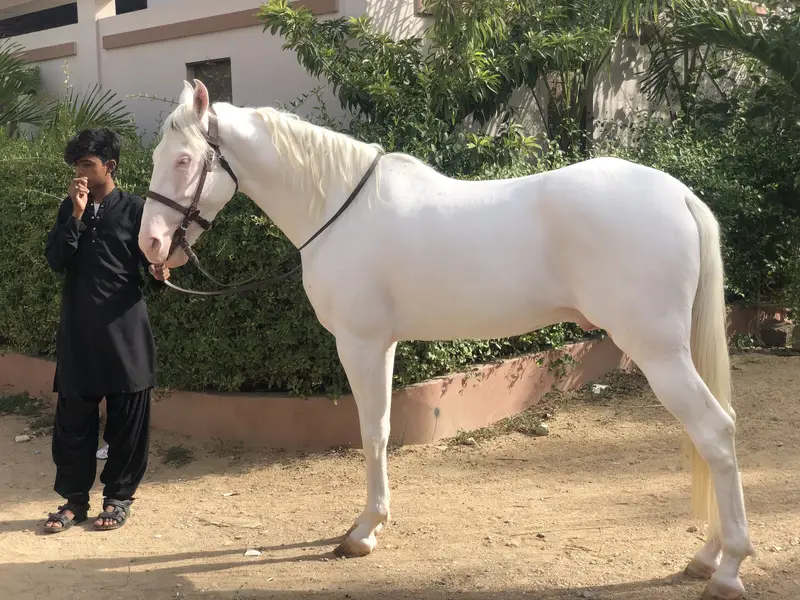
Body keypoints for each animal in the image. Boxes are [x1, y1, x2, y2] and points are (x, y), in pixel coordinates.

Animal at [138, 79, 755, 600]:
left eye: (184, 160)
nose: (151, 244)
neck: (338, 209)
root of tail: (677, 194)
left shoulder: (360, 343)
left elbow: (370, 431)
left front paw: (362, 531)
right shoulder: (383, 345)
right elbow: (384, 430)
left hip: (657, 351)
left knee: (715, 432)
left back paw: (727, 568)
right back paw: (706, 556)